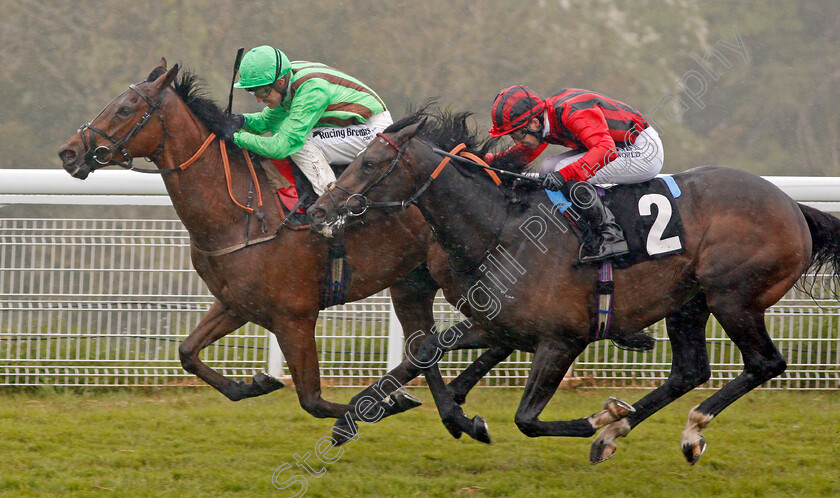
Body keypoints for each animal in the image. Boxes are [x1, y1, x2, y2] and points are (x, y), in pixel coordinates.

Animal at [57, 59, 512, 440]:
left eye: (125, 109)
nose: (69, 151)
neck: (239, 211)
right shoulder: (237, 303)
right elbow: (187, 353)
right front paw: (254, 383)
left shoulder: (295, 317)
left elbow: (311, 399)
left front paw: (375, 408)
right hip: (411, 284)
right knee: (425, 348)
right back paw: (457, 418)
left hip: (459, 279)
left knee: (486, 335)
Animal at [306, 108, 840, 462]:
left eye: (370, 164)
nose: (320, 208)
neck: (500, 228)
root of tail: (794, 208)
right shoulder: (498, 326)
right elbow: (425, 353)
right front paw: (351, 418)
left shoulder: (563, 340)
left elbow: (526, 419)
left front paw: (596, 419)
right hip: (688, 303)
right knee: (689, 370)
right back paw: (619, 432)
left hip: (733, 297)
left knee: (764, 363)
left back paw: (683, 430)